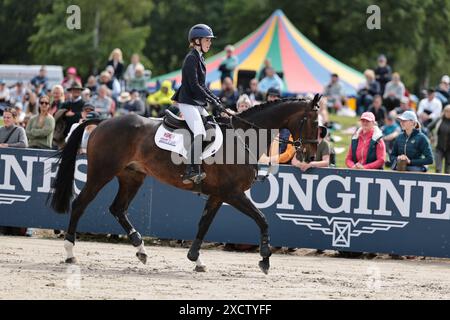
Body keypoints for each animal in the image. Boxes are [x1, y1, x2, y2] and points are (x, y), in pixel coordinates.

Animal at [49, 94, 320, 274]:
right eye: (316, 123)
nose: (309, 156)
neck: (243, 139)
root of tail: (104, 121)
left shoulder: (219, 195)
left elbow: (204, 224)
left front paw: (196, 259)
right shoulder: (233, 193)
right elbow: (262, 219)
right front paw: (265, 259)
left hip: (132, 176)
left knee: (118, 209)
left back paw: (141, 249)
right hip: (101, 173)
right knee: (81, 204)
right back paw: (70, 253)